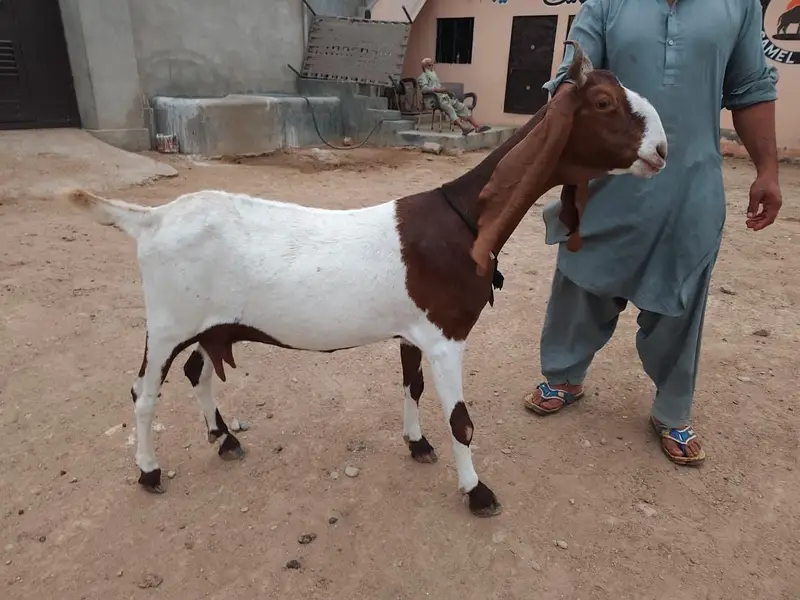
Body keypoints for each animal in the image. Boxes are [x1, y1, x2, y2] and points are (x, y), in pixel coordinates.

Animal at [67, 42, 667, 518]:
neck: (464, 220)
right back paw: (150, 472)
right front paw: (477, 492)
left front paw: (417, 444)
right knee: (144, 392)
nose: (662, 151)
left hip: (210, 321)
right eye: (604, 103)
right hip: (169, 321)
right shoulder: (447, 337)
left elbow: (412, 386)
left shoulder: (413, 332)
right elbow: (461, 420)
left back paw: (224, 440)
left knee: (198, 370)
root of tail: (151, 218)